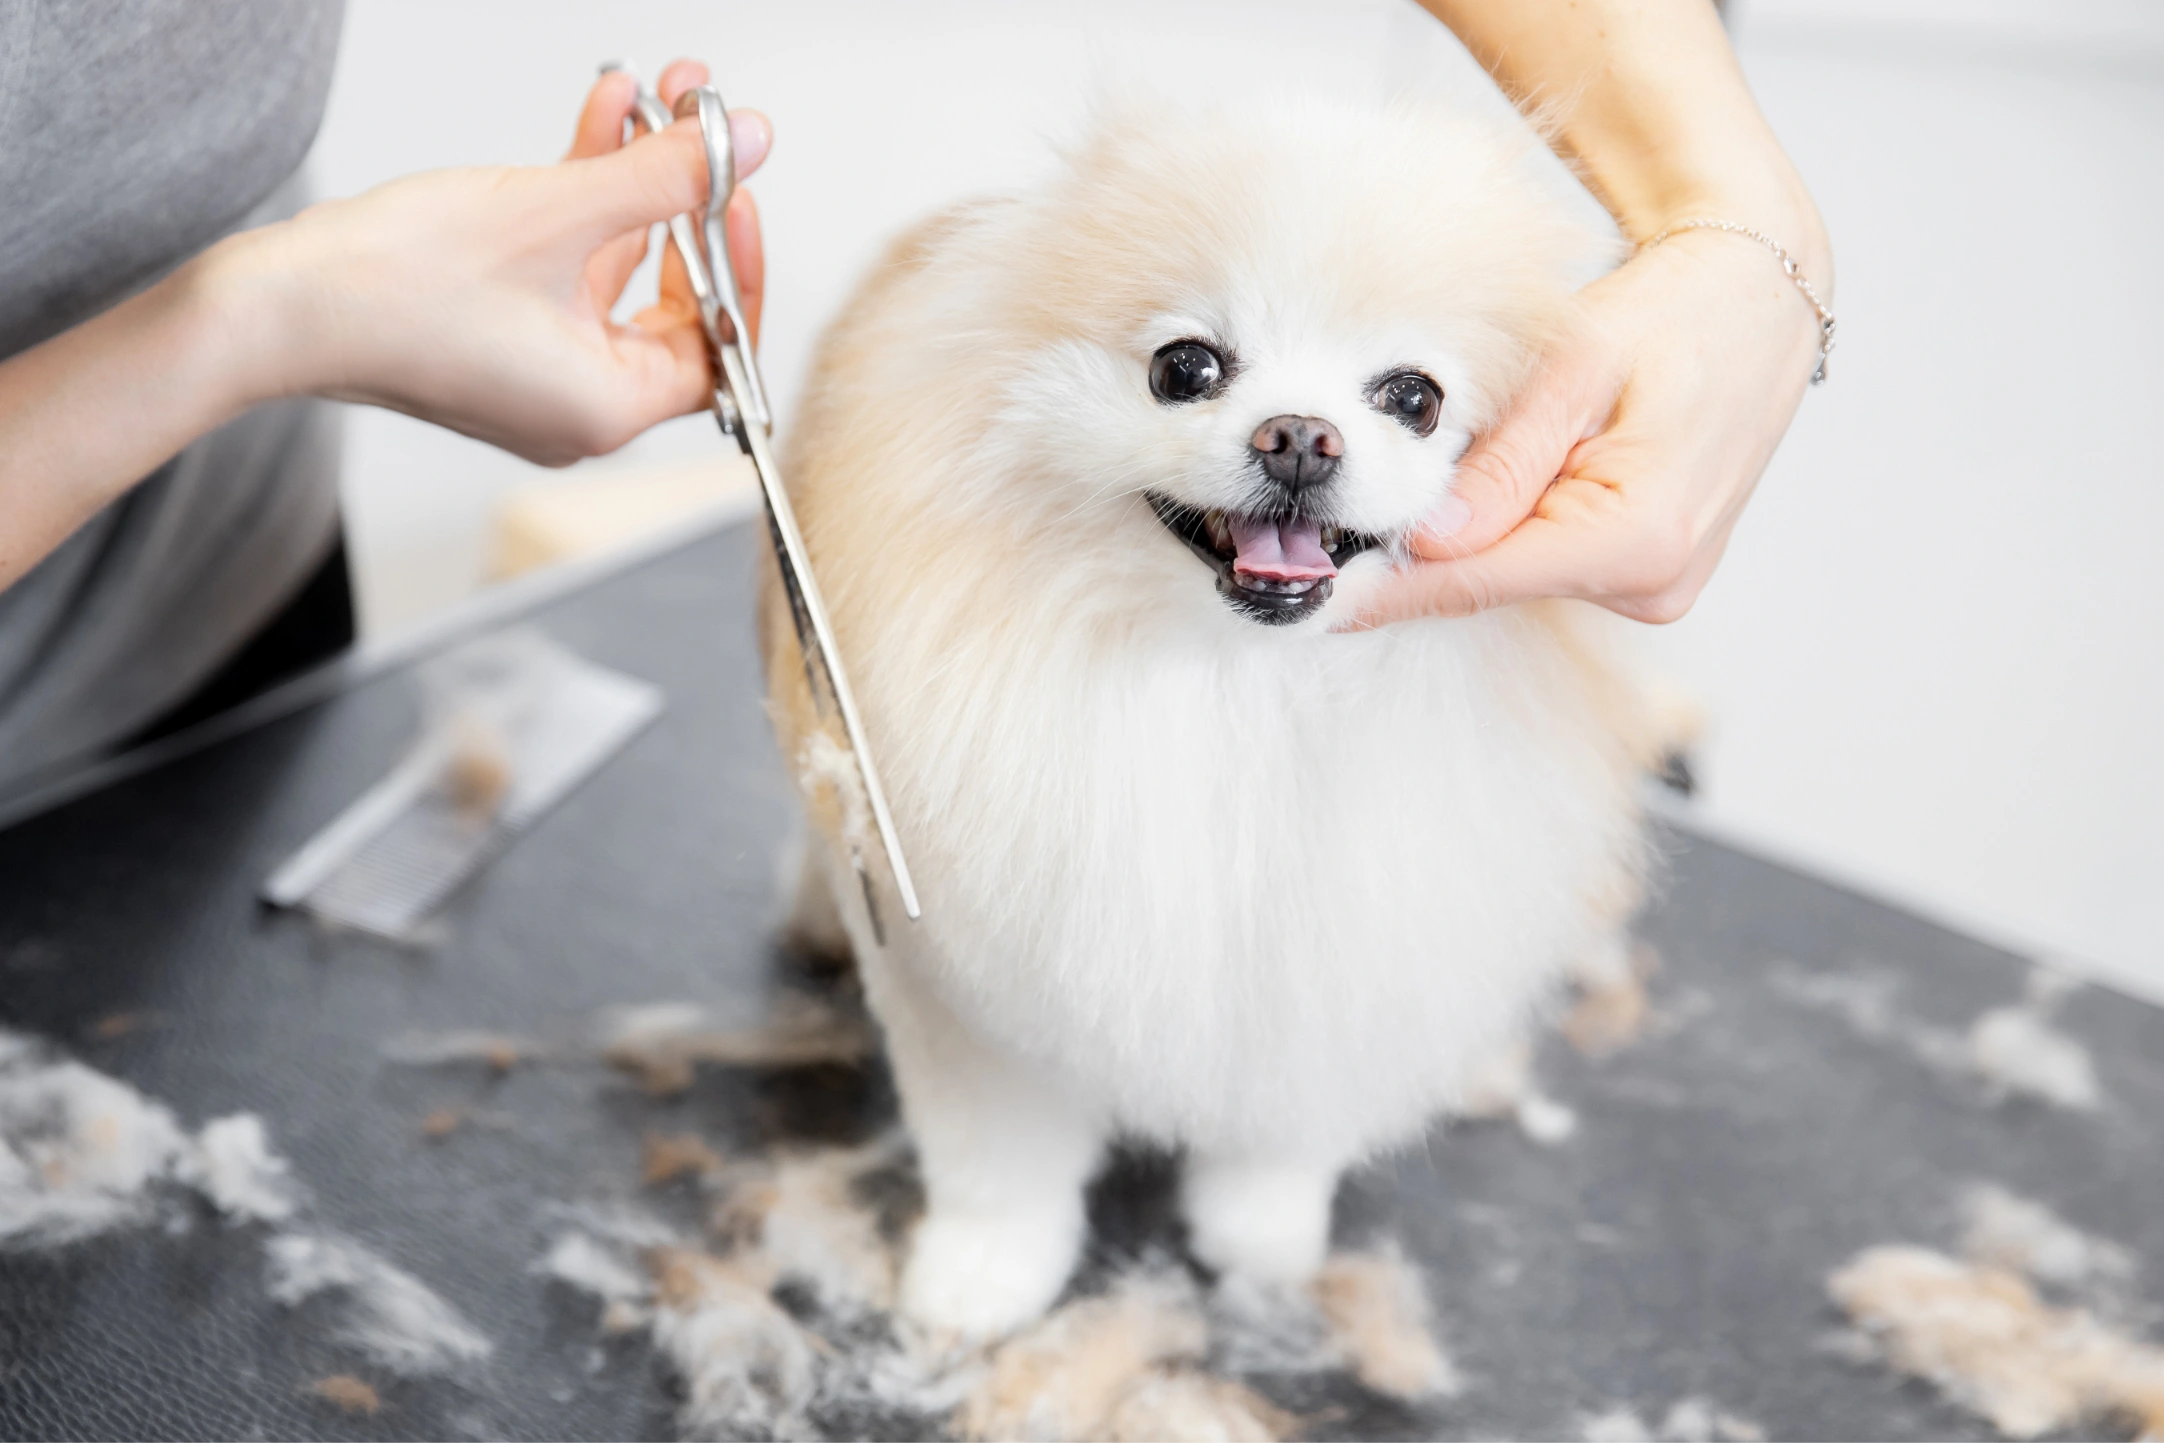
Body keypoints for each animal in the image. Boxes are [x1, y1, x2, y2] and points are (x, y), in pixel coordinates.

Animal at [770, 93, 1661, 1341]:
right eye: (1184, 366)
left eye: (1414, 398)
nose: (1300, 434)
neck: (1241, 689)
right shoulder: (972, 985)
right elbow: (999, 1161)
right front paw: (981, 1280)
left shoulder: (1335, 957)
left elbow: (1280, 1142)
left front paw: (1261, 1244)